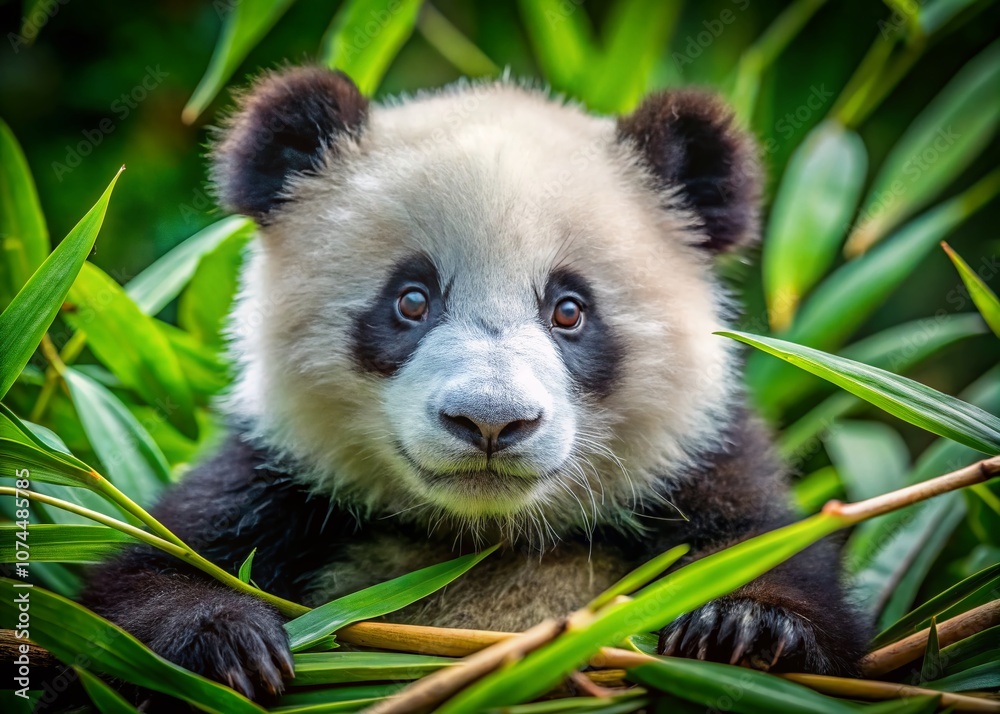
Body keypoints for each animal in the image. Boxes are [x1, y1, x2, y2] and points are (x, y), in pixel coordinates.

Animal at [82, 66, 867, 703]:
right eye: (411, 300)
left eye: (569, 310)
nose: (490, 422)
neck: (484, 536)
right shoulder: (278, 481)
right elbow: (133, 593)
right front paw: (224, 643)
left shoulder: (696, 465)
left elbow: (773, 561)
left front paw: (746, 630)